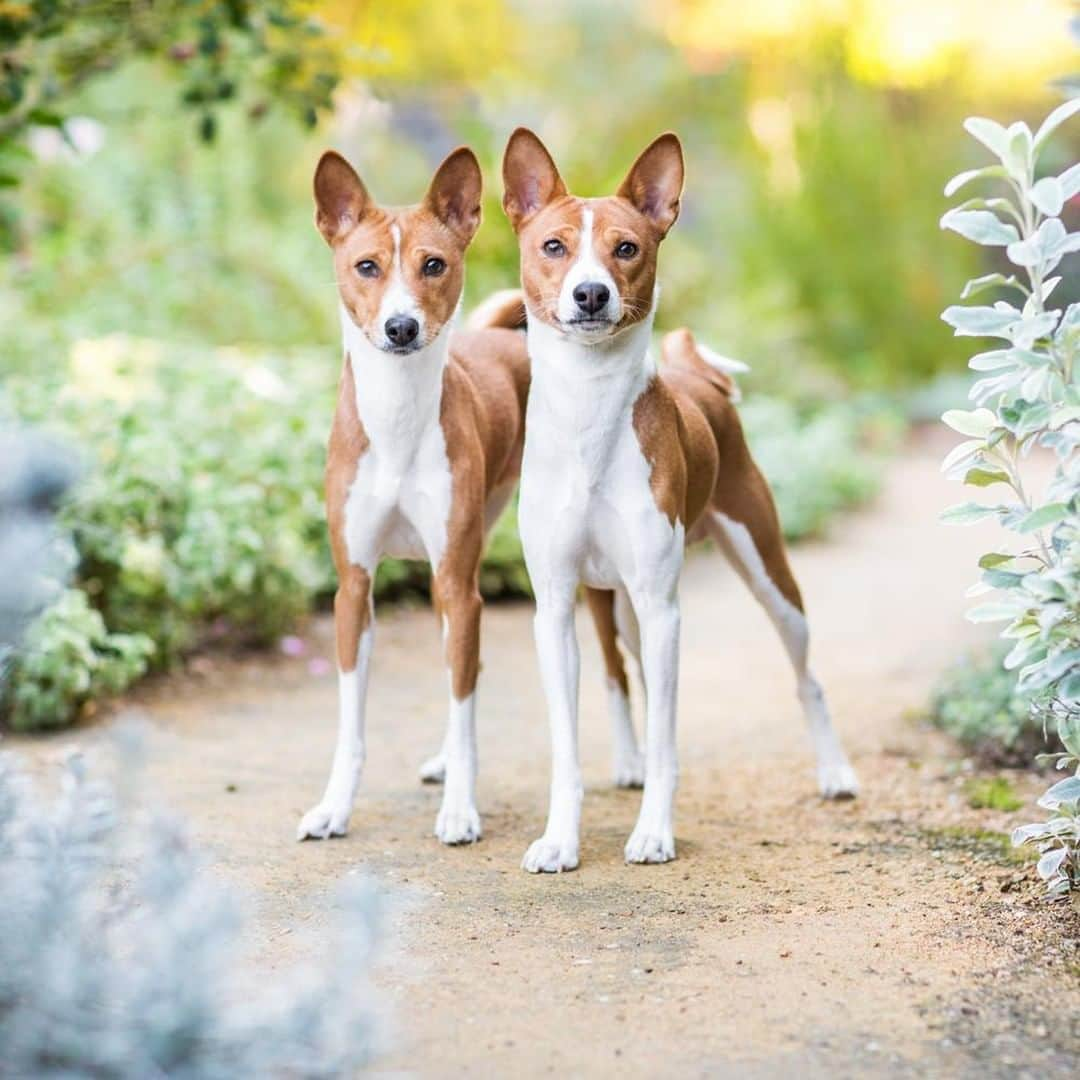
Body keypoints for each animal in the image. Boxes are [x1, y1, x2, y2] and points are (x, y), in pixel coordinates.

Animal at [298, 147, 529, 846]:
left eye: (434, 264)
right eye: (366, 266)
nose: (401, 327)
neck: (398, 420)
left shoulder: (459, 582)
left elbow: (463, 706)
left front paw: (460, 809)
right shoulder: (354, 587)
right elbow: (351, 726)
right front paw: (334, 808)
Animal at [498, 126, 859, 872]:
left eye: (626, 248)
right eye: (553, 246)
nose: (590, 294)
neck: (590, 419)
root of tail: (702, 380)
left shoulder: (666, 611)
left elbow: (668, 737)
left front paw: (653, 832)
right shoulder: (555, 607)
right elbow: (567, 748)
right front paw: (560, 839)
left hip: (766, 575)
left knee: (807, 676)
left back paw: (835, 772)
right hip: (622, 607)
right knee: (623, 677)